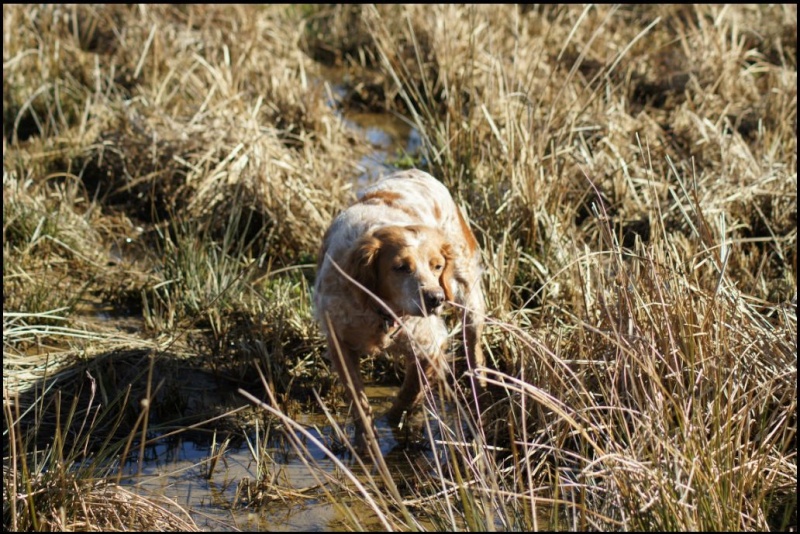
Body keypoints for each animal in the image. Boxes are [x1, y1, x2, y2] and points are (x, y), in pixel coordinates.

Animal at [316, 171, 484, 448]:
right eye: (401, 267)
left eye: (437, 266)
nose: (436, 298)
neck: (379, 310)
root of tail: (416, 172)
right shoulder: (339, 341)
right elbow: (359, 399)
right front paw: (367, 441)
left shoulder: (430, 344)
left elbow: (410, 391)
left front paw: (396, 420)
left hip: (468, 294)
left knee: (474, 347)